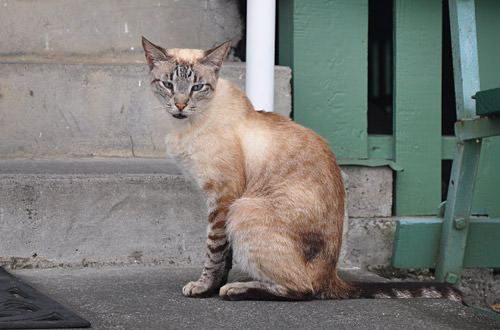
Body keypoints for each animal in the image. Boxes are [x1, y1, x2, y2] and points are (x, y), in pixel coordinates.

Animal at [140, 37, 460, 302]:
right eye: (168, 85)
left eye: (197, 87)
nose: (180, 105)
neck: (185, 127)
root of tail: (334, 277)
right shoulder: (218, 200)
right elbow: (225, 255)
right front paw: (214, 283)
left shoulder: (222, 199)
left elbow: (214, 252)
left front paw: (205, 287)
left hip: (243, 210)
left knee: (304, 290)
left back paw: (235, 289)